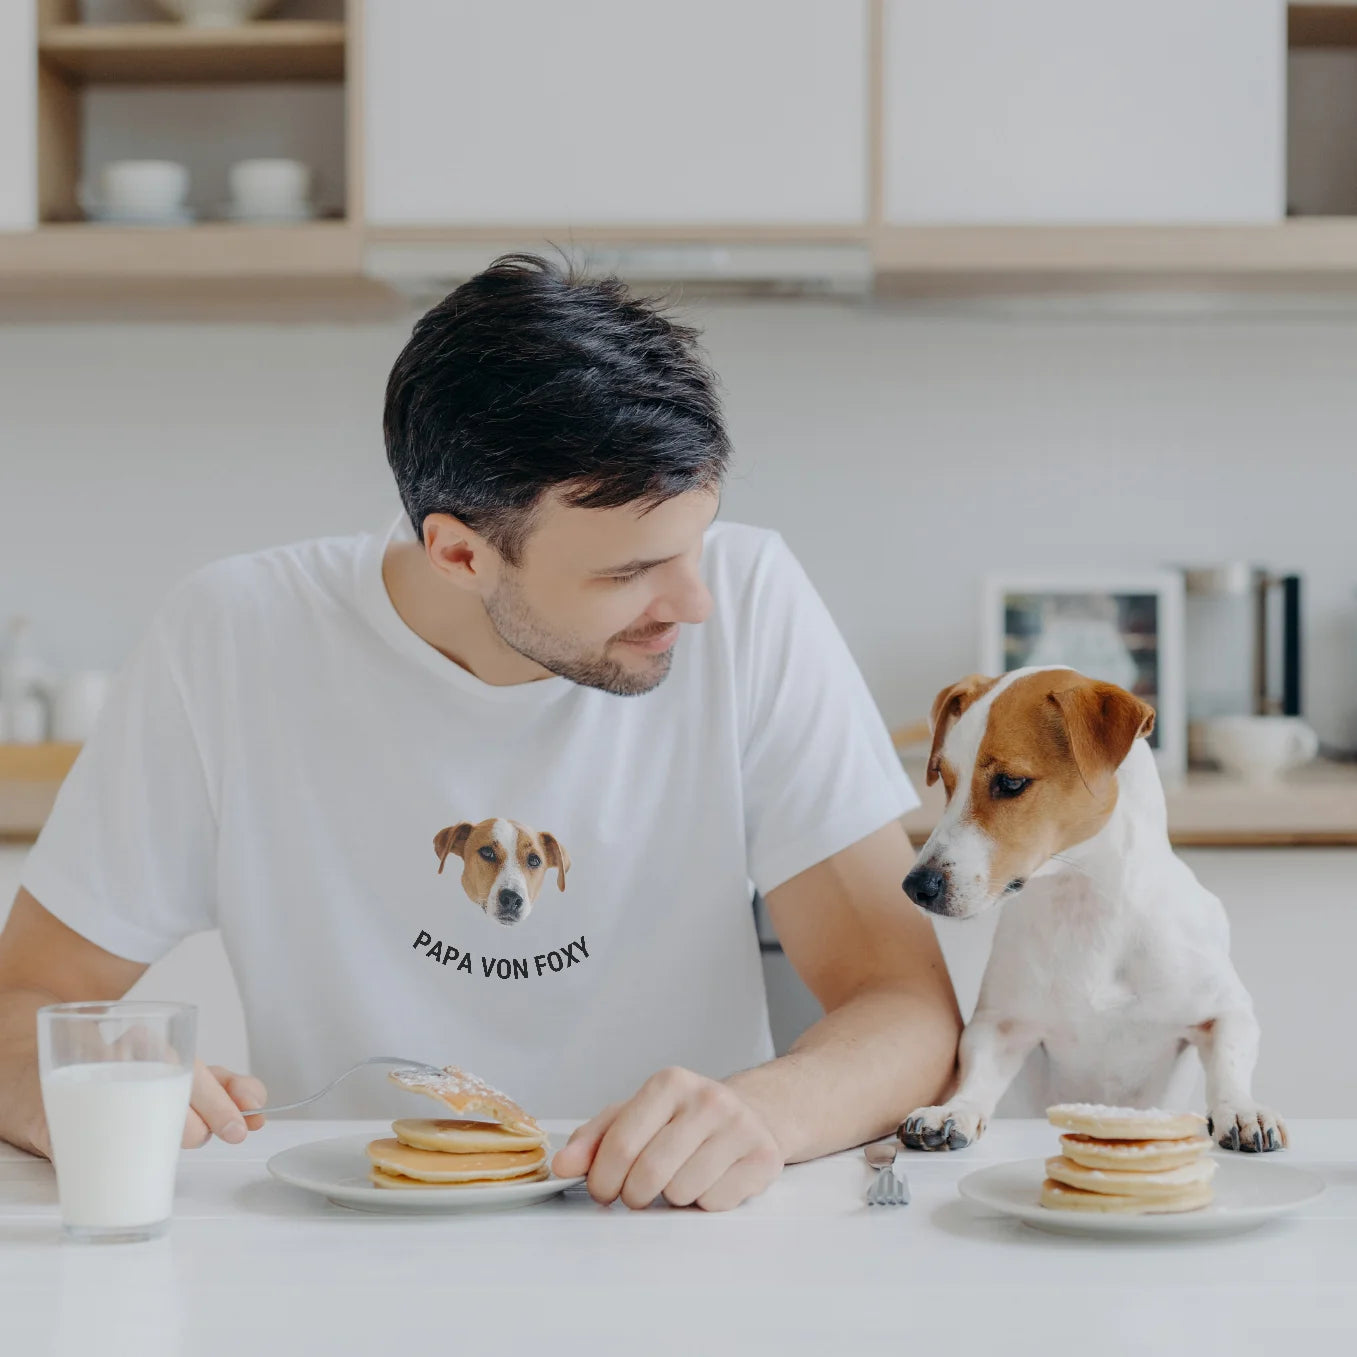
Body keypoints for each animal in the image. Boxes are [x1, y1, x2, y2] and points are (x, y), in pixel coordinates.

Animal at [901, 667, 1281, 1156]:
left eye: (1011, 782)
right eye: (945, 780)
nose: (916, 886)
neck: (1085, 904)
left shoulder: (1226, 1011)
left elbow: (1230, 1062)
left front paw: (1240, 1109)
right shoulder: (1000, 1026)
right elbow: (976, 1077)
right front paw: (953, 1110)